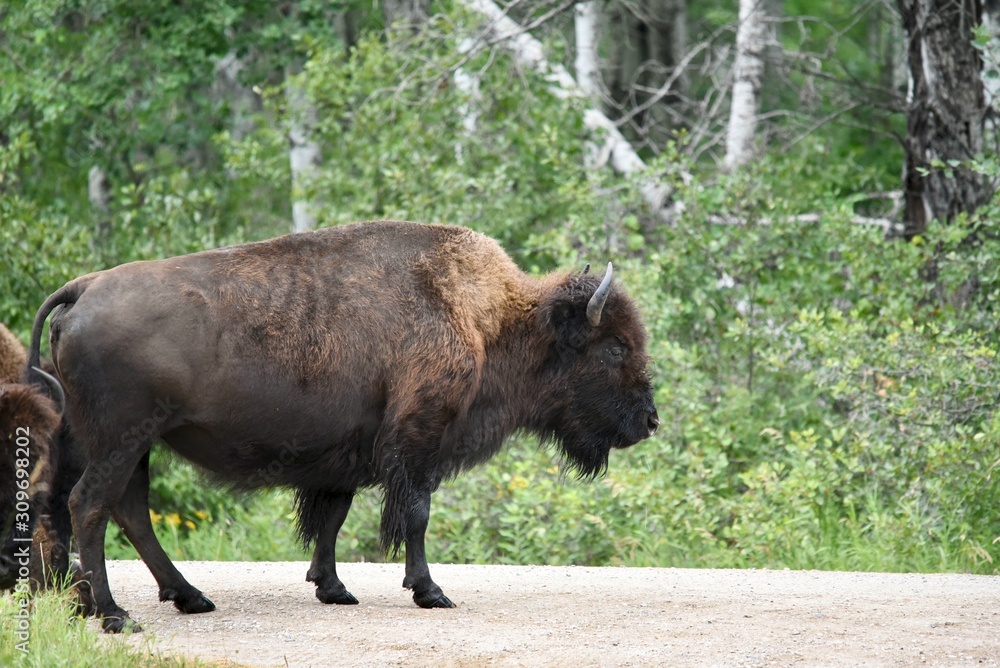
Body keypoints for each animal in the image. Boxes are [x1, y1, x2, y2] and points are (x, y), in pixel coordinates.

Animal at [26, 220, 658, 632]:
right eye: (614, 348)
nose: (649, 421)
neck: (483, 318)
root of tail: (83, 288)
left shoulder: (347, 455)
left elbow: (332, 517)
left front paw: (333, 589)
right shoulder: (417, 442)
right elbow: (415, 514)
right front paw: (430, 592)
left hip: (133, 443)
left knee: (126, 510)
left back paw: (182, 599)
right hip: (122, 439)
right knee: (91, 505)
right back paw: (114, 615)